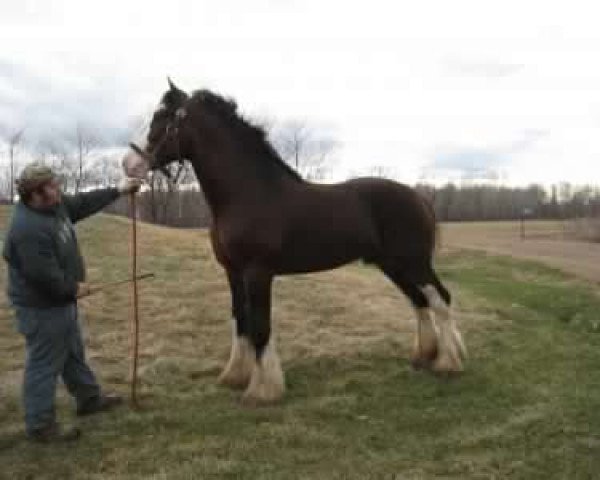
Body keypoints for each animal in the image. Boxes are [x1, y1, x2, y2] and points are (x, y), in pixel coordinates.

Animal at [123, 79, 468, 404]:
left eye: (163, 118)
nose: (129, 164)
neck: (247, 193)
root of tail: (418, 197)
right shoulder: (233, 272)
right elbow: (241, 321)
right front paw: (235, 376)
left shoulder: (258, 273)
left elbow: (260, 326)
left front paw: (263, 391)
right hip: (392, 265)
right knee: (420, 301)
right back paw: (424, 356)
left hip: (414, 262)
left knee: (440, 298)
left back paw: (448, 363)